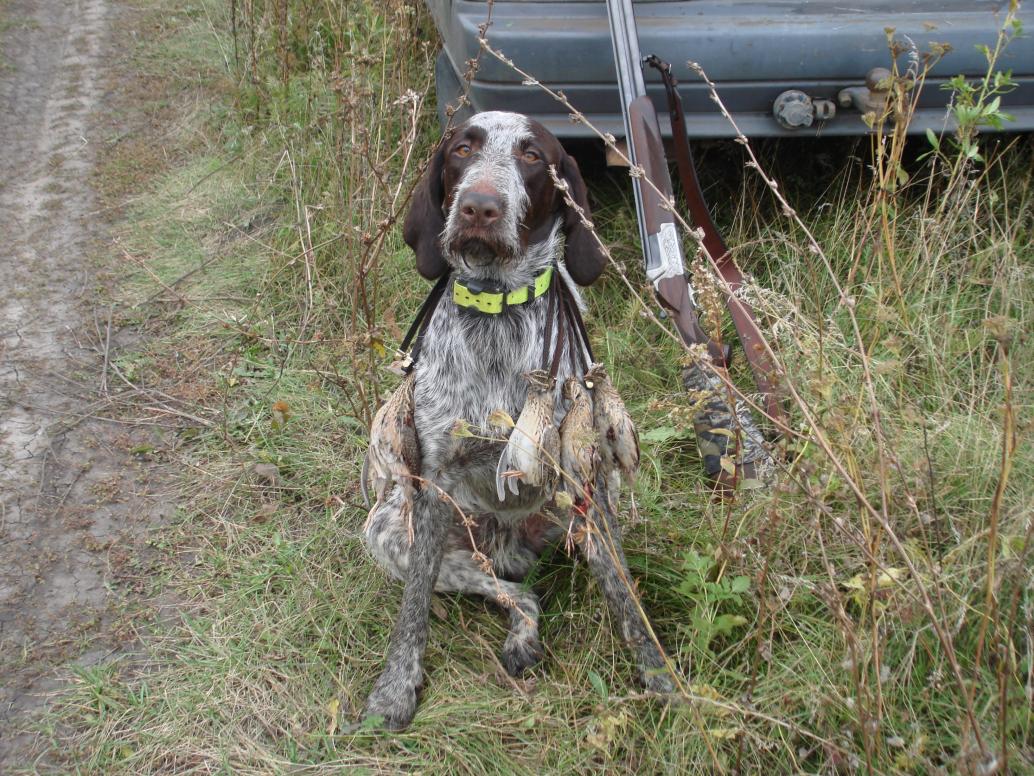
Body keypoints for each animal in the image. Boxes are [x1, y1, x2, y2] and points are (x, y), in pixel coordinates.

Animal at [361, 112, 670, 732]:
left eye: (532, 156)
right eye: (463, 149)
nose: (480, 207)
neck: (497, 308)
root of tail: (508, 546)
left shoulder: (585, 477)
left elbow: (625, 597)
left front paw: (663, 679)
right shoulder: (432, 487)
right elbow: (412, 611)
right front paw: (395, 688)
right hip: (387, 531)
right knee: (516, 593)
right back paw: (522, 635)